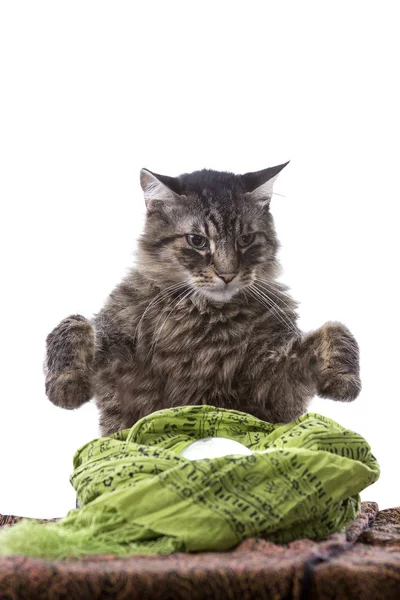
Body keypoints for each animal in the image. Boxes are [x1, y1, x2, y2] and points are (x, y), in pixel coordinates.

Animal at [45, 163, 360, 436]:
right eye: (197, 241)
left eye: (245, 239)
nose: (227, 274)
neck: (204, 317)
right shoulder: (117, 353)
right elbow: (73, 325)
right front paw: (66, 386)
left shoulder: (272, 378)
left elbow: (336, 331)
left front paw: (344, 381)